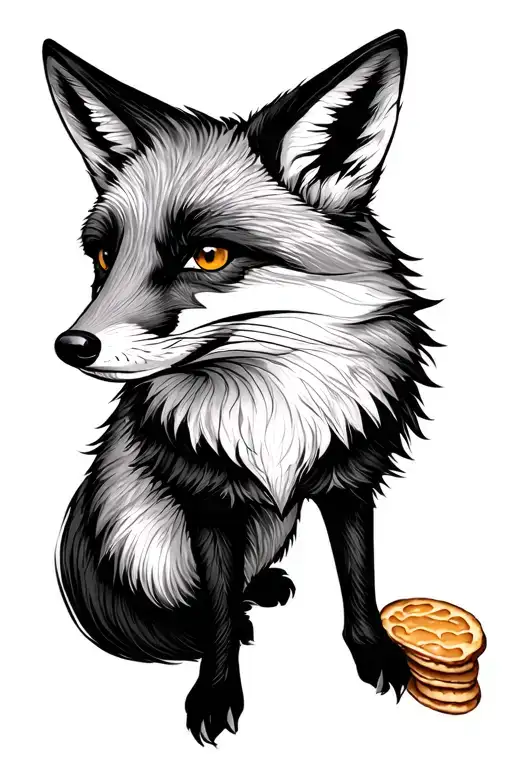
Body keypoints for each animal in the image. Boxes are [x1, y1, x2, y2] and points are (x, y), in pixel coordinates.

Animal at [44, 29, 437, 745]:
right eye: (105, 256)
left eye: (208, 256)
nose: (71, 346)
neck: (272, 408)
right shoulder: (207, 501)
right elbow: (219, 619)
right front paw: (217, 691)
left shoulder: (349, 480)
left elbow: (358, 579)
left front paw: (373, 653)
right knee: (197, 601)